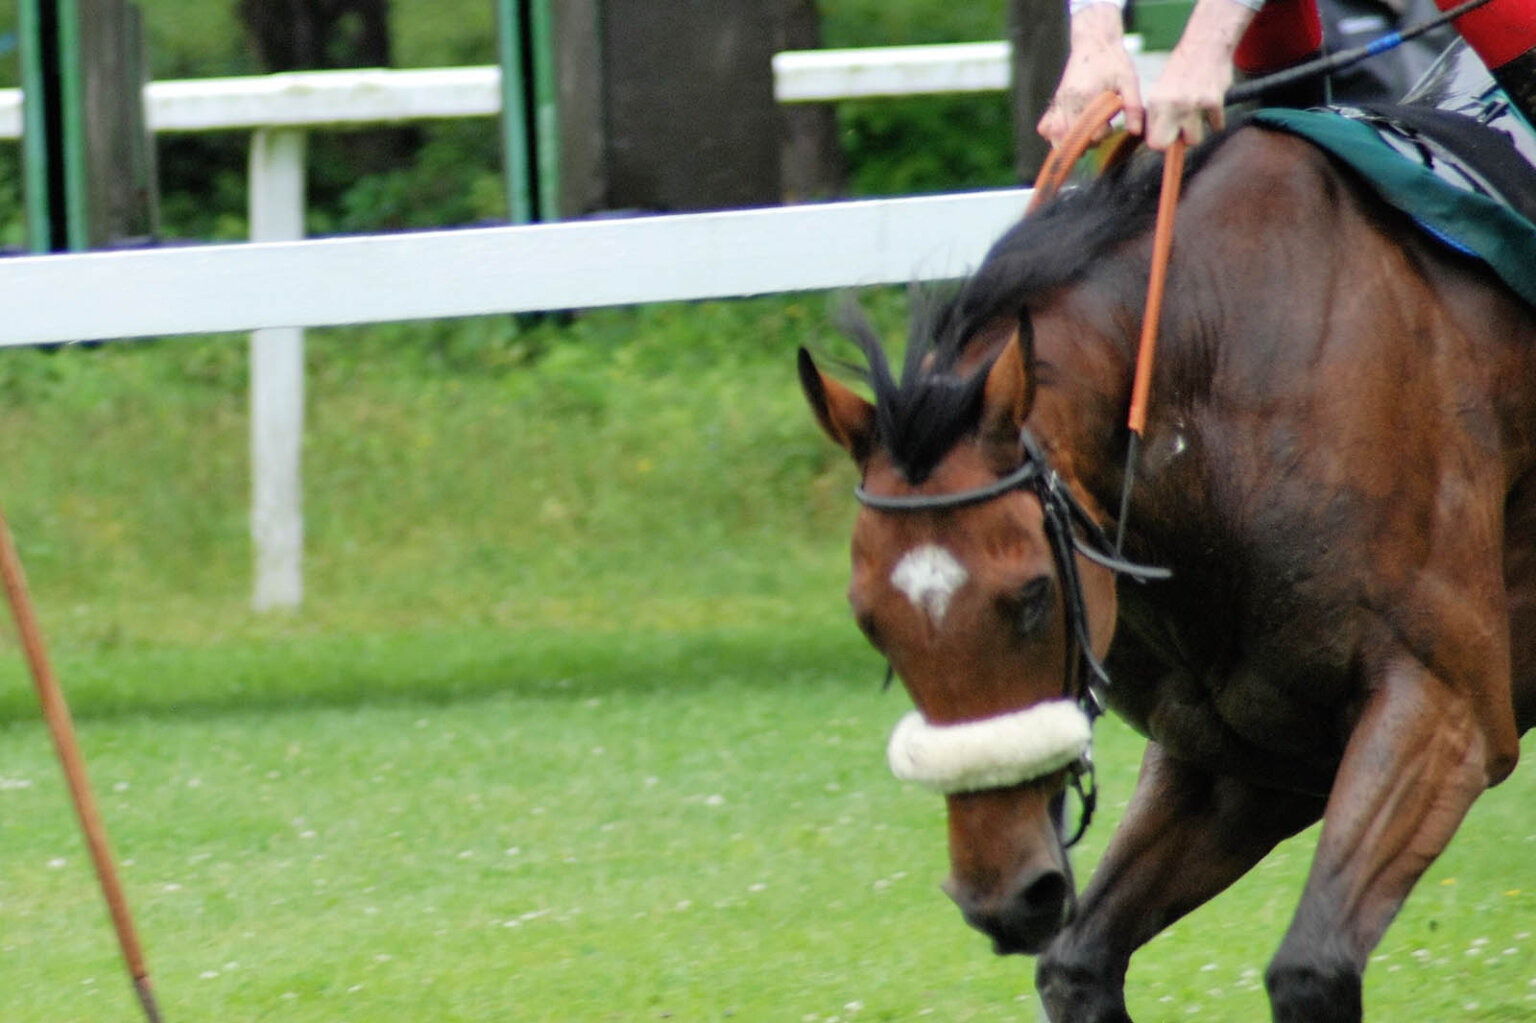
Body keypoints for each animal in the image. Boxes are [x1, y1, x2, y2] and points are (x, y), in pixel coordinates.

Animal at [798, 123, 1529, 1013]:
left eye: (1033, 595)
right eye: (870, 619)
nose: (1004, 894)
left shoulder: (1444, 712)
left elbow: (1311, 968)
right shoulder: (1244, 764)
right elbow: (1077, 963)